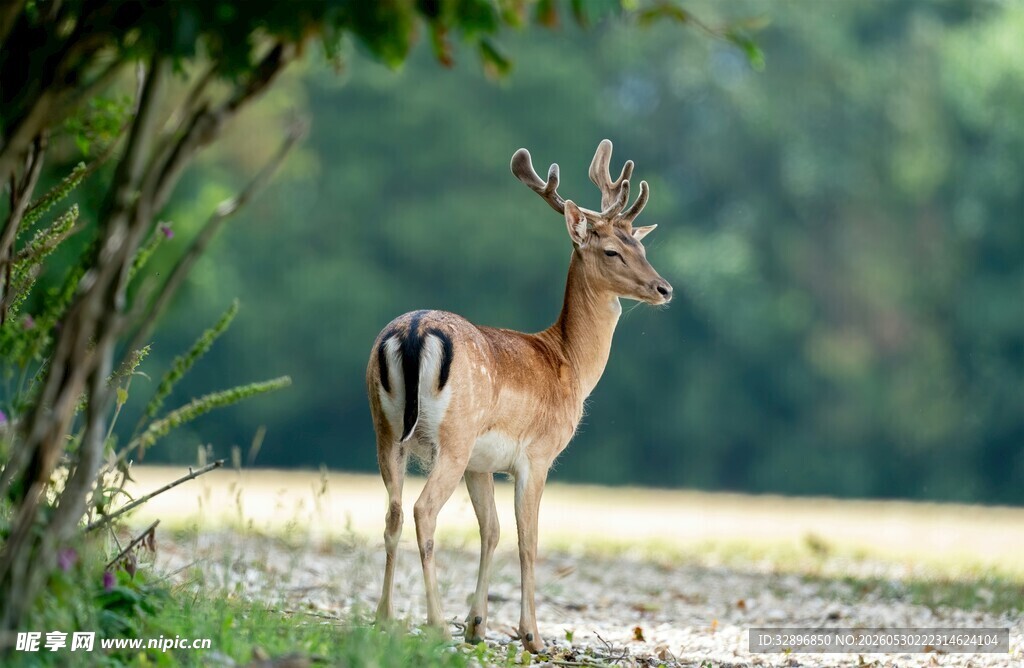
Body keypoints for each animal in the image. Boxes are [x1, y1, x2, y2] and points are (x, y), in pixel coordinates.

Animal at [366, 139, 672, 653]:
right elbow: (528, 539)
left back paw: (384, 618)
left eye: (641, 245)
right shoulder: (537, 455)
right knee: (423, 511)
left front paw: (477, 626)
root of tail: (412, 332)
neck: (569, 364)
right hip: (452, 437)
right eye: (612, 250)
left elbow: (490, 531)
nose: (664, 288)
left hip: (385, 429)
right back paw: (433, 623)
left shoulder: (482, 463)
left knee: (391, 512)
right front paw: (532, 635)